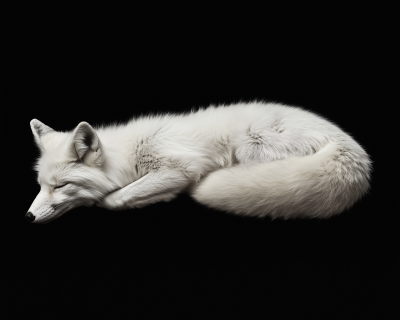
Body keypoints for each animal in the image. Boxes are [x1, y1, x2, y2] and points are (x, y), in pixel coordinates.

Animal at [27, 102, 372, 222]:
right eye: (41, 186)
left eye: (62, 186)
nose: (28, 217)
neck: (129, 154)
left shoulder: (179, 167)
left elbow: (114, 198)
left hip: (251, 144)